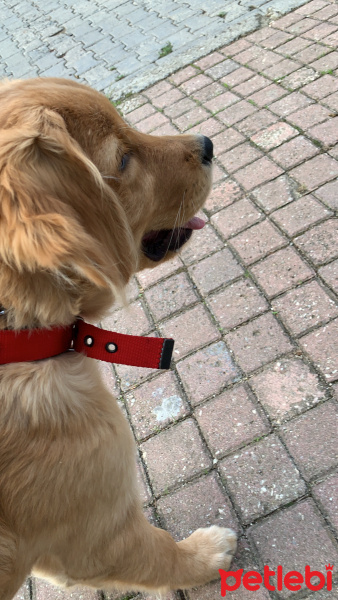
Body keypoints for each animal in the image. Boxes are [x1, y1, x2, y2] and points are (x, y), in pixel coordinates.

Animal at [0, 77, 235, 596]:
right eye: (122, 160)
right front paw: (205, 554)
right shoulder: (99, 532)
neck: (19, 335)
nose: (207, 144)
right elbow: (159, 553)